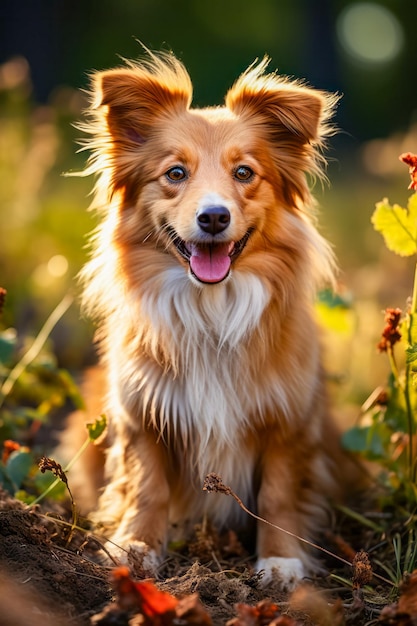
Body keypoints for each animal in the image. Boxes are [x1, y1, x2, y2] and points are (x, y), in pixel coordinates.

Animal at [75, 50, 352, 588]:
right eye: (175, 174)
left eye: (244, 173)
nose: (214, 217)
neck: (212, 309)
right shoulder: (142, 413)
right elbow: (146, 485)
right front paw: (136, 546)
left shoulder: (290, 421)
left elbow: (279, 493)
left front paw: (281, 560)